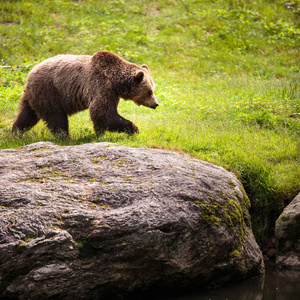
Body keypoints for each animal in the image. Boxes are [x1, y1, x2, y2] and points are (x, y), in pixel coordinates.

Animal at [12, 50, 157, 137]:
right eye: (150, 91)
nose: (156, 104)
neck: (116, 82)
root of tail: (31, 72)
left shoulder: (112, 93)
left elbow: (102, 115)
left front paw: (100, 133)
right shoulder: (101, 86)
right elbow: (103, 113)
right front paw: (134, 128)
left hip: (33, 95)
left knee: (27, 114)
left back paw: (16, 132)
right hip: (49, 90)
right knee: (56, 116)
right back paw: (65, 137)